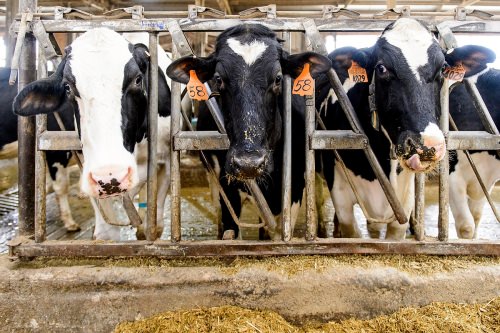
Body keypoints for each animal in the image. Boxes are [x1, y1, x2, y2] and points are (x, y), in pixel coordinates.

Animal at [12, 26, 173, 239]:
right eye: (67, 87)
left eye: (138, 80)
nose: (111, 176)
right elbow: (106, 232)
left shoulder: (165, 160)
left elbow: (155, 223)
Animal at [168, 24, 332, 240]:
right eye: (218, 78)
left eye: (278, 78)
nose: (248, 163)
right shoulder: (227, 185)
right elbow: (232, 230)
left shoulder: (295, 186)